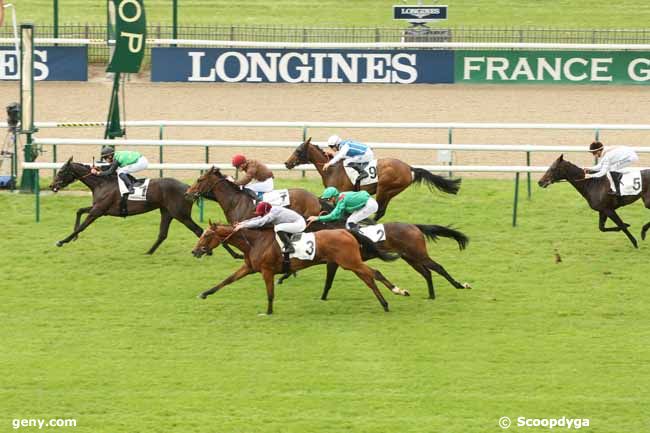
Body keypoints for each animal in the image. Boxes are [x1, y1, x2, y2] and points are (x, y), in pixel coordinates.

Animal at [50, 157, 230, 255]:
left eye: (61, 171)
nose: (52, 186)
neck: (102, 183)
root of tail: (187, 188)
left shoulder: (98, 210)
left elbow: (82, 225)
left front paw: (63, 240)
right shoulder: (100, 209)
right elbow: (79, 211)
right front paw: (73, 237)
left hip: (181, 214)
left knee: (199, 230)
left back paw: (217, 251)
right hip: (167, 212)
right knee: (162, 234)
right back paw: (148, 252)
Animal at [191, 223, 400, 314]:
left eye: (207, 235)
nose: (195, 251)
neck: (254, 242)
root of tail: (346, 231)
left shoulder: (267, 271)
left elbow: (270, 293)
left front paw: (268, 312)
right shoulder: (249, 267)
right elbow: (226, 280)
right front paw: (205, 293)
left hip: (350, 262)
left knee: (373, 274)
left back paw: (396, 293)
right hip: (351, 263)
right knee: (370, 277)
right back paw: (387, 301)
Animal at [284, 137, 460, 219]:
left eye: (298, 151)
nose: (286, 163)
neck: (333, 170)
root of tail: (409, 168)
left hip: (385, 188)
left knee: (380, 211)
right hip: (390, 192)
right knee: (381, 211)